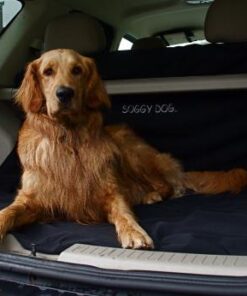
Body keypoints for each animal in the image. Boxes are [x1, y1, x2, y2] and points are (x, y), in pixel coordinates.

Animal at [0, 49, 247, 250]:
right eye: (47, 72)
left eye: (77, 70)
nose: (65, 93)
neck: (69, 138)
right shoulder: (31, 199)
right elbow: (7, 212)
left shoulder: (111, 192)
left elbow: (124, 213)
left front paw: (134, 232)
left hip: (129, 152)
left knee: (167, 185)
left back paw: (152, 195)